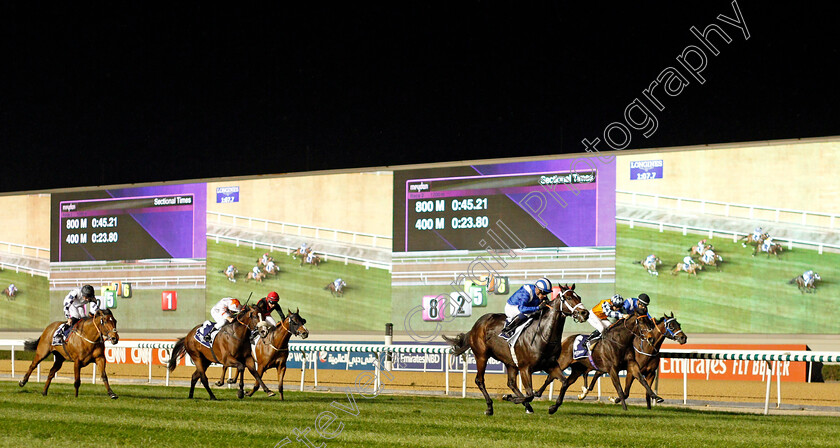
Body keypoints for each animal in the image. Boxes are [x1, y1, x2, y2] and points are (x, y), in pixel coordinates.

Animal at [442, 286, 588, 414]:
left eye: (579, 297)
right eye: (568, 298)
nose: (584, 313)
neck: (543, 335)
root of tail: (476, 325)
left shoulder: (551, 365)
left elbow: (564, 382)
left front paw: (553, 407)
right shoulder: (525, 368)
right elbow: (530, 394)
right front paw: (509, 398)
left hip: (510, 362)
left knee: (511, 383)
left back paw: (526, 406)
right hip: (481, 356)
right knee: (480, 380)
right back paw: (490, 407)